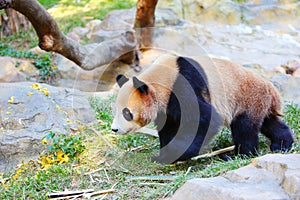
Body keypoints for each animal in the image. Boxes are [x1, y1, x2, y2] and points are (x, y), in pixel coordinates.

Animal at [111, 53, 294, 164]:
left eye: (127, 113)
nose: (115, 129)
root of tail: (273, 92)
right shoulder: (167, 106)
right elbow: (170, 126)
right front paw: (165, 154)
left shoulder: (184, 85)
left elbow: (204, 119)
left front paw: (178, 154)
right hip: (258, 102)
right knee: (269, 123)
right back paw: (282, 144)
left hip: (247, 97)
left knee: (244, 128)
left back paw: (237, 154)